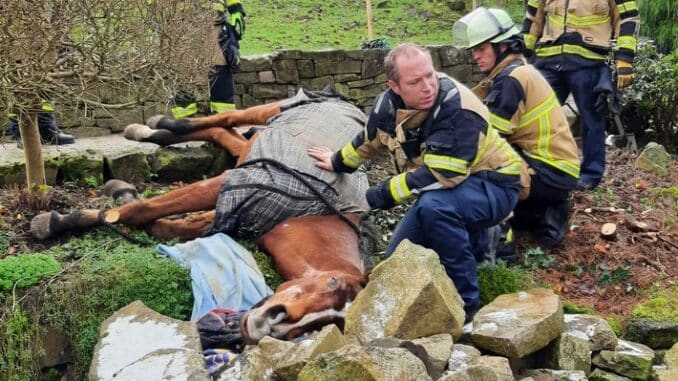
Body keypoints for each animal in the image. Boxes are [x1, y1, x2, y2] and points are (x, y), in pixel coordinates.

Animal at [30, 90, 378, 342]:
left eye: (321, 326)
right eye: (331, 282)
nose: (268, 325)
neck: (317, 212)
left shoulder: (230, 209)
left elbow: (163, 227)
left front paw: (121, 195)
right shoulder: (231, 183)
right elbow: (144, 209)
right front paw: (54, 222)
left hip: (248, 149)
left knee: (225, 135)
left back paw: (149, 133)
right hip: (272, 111)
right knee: (227, 117)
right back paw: (153, 125)